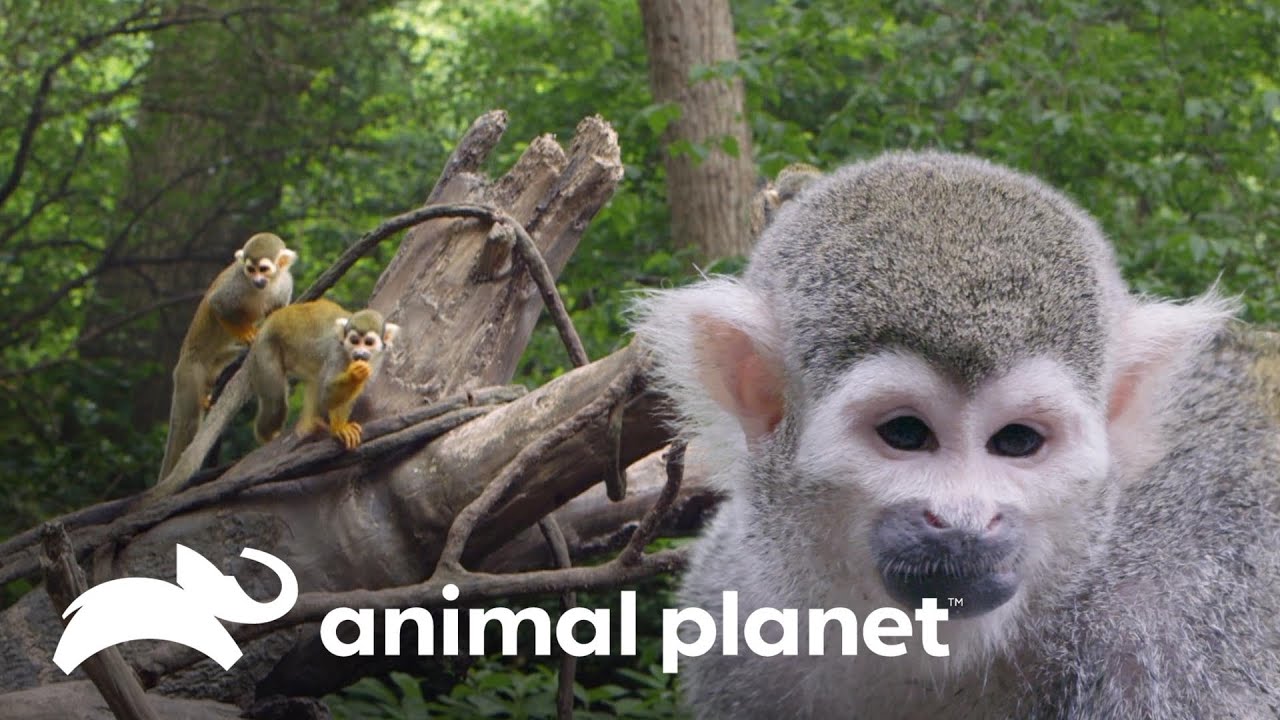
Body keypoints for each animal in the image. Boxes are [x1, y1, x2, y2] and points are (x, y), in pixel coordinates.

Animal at [157, 232, 296, 482]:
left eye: (264, 269)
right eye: (251, 270)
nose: (257, 280)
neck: (266, 286)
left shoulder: (285, 284)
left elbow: (277, 313)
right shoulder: (238, 284)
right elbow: (218, 304)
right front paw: (247, 334)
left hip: (217, 362)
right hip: (190, 371)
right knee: (187, 422)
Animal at [246, 298, 399, 450]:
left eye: (368, 342)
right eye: (354, 341)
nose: (359, 353)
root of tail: (273, 318)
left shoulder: (376, 361)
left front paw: (339, 426)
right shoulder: (337, 352)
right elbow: (326, 396)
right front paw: (355, 375)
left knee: (314, 380)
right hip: (264, 348)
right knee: (275, 403)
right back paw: (266, 437)